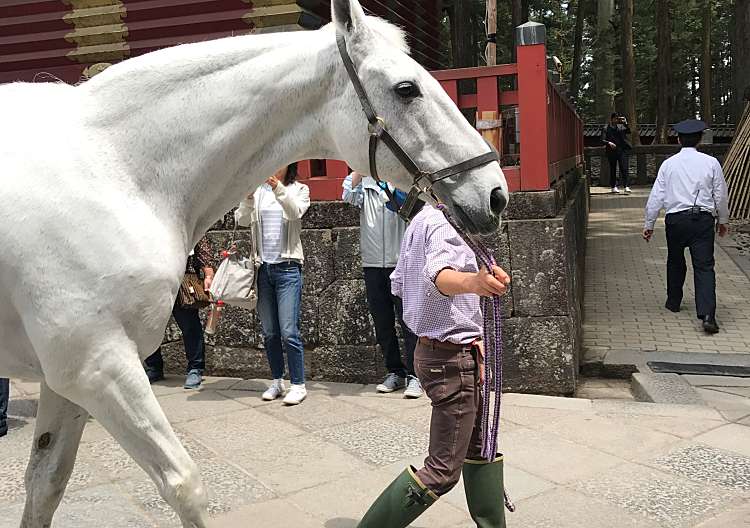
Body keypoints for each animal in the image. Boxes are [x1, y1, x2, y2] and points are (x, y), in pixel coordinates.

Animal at [0, 0, 512, 524]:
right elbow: (184, 485)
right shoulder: (95, 365)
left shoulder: (66, 379)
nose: (495, 194)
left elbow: (46, 484)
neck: (117, 169)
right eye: (406, 89)